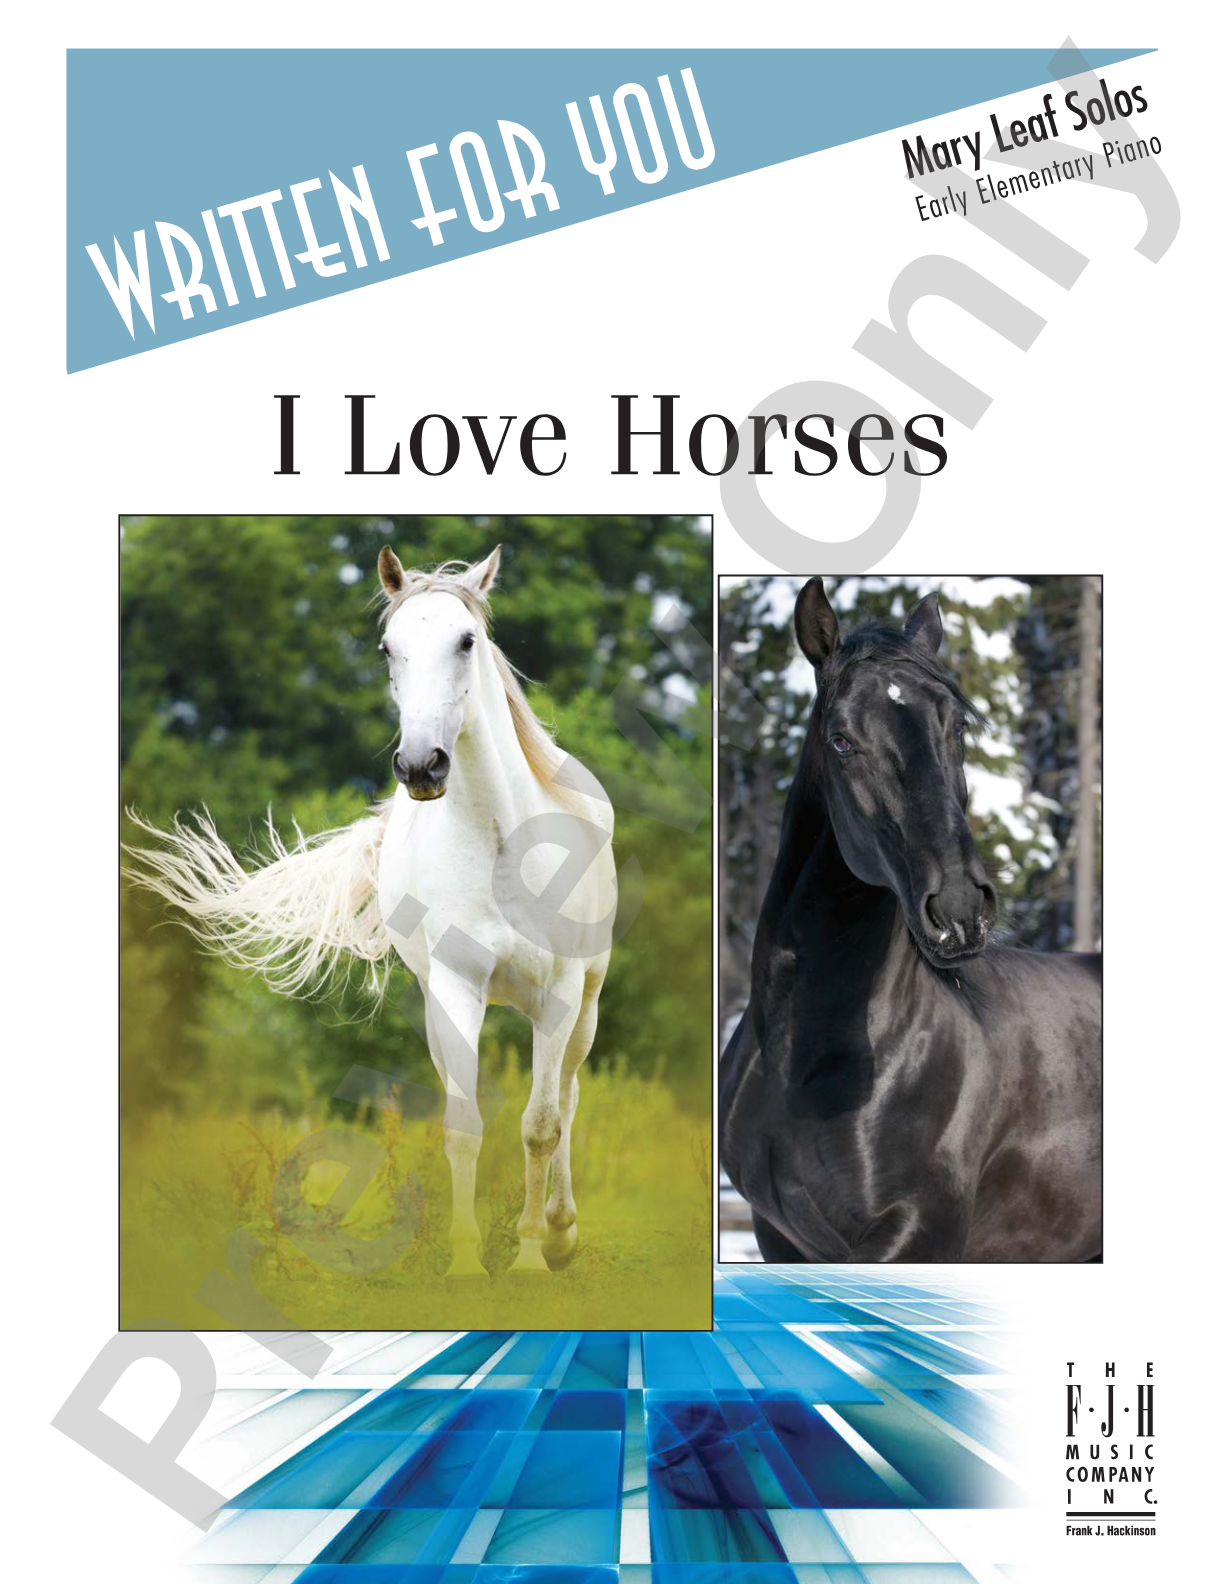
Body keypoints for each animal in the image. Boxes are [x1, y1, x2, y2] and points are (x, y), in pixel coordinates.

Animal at [126, 545, 617, 1280]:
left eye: (466, 641)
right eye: (389, 647)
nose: (420, 766)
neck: (500, 843)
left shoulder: (558, 993)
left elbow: (540, 1125)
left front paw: (532, 1257)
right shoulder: (455, 991)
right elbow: (464, 1126)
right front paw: (466, 1263)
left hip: (582, 1002)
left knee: (569, 1093)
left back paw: (562, 1231)